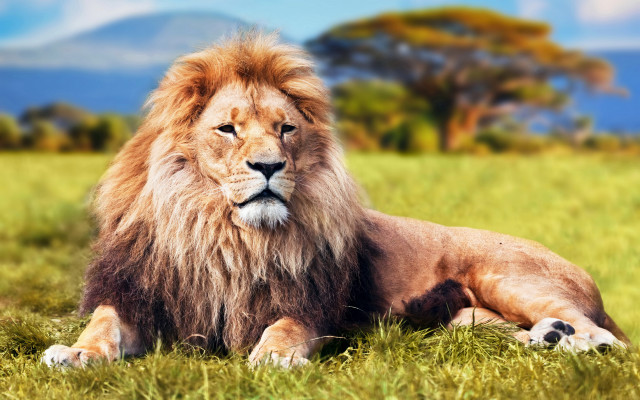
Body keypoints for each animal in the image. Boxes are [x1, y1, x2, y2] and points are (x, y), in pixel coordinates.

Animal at [42, 33, 629, 368]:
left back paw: (577, 342)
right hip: (466, 317)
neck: (224, 234)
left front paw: (273, 358)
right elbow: (102, 326)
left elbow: (284, 329)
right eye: (228, 130)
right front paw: (75, 353)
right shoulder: (138, 295)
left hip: (506, 276)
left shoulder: (309, 304)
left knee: (609, 338)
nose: (269, 167)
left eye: (285, 129)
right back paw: (546, 339)